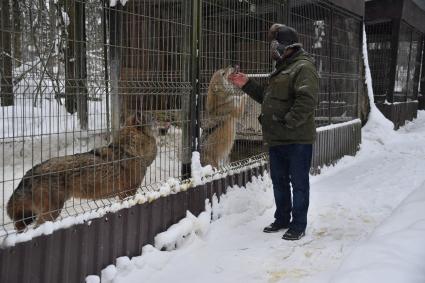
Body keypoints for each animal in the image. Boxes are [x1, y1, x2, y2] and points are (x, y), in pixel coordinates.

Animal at [7, 113, 157, 233]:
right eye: (153, 118)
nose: (162, 121)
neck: (130, 150)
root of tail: (30, 172)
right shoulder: (127, 193)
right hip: (52, 211)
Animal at [229, 25, 318, 242]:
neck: (289, 60)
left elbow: (304, 95)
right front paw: (241, 79)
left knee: (300, 187)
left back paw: (295, 230)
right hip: (277, 159)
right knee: (281, 183)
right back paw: (279, 223)